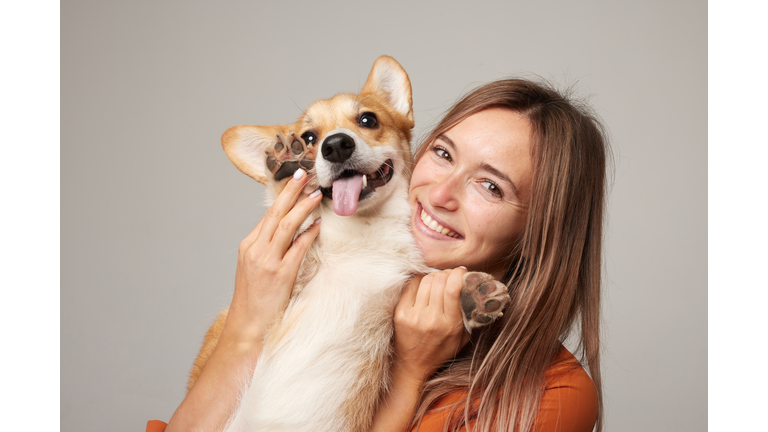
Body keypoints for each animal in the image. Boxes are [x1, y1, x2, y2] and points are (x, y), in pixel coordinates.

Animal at [188, 55, 510, 430]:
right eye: (308, 137)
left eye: (368, 120)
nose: (336, 145)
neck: (363, 230)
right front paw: (286, 168)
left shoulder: (398, 288)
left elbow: (424, 279)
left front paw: (471, 293)